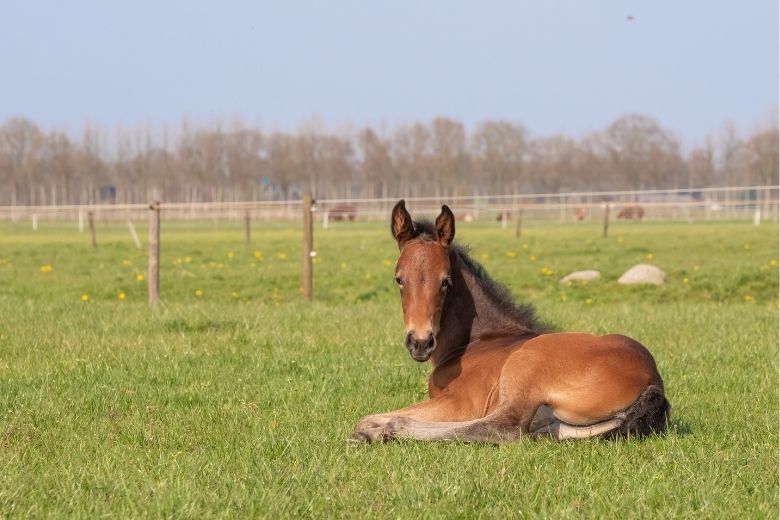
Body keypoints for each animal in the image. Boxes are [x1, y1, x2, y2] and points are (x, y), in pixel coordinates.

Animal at [350, 201, 668, 444]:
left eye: (445, 281)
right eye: (399, 279)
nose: (420, 342)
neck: (478, 340)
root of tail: (653, 380)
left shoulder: (459, 403)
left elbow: (366, 417)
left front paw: (373, 430)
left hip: (526, 366)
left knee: (504, 428)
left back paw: (390, 431)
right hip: (562, 426)